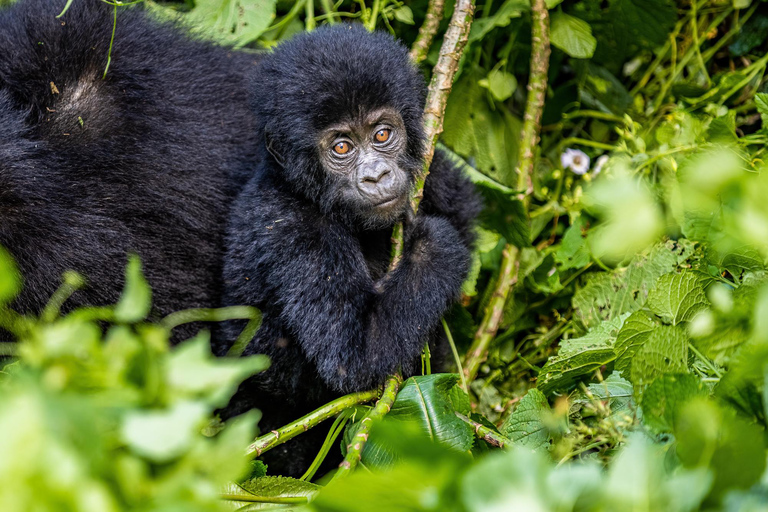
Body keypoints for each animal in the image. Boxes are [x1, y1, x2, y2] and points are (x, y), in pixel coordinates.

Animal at [218, 25, 480, 476]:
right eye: (341, 147)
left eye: (382, 134)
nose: (377, 175)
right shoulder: (292, 230)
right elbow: (355, 356)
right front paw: (434, 244)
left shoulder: (430, 169)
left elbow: (464, 204)